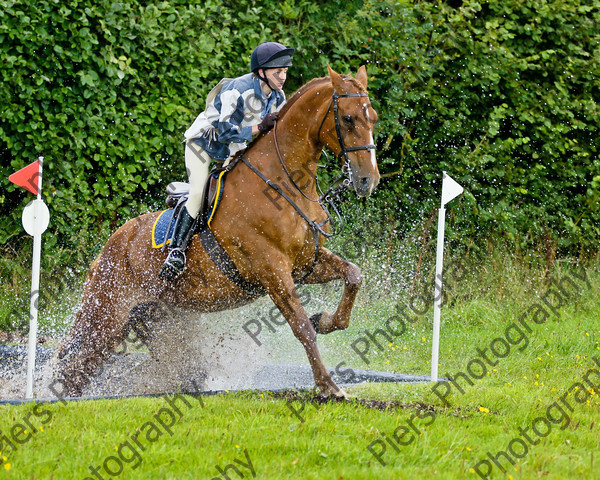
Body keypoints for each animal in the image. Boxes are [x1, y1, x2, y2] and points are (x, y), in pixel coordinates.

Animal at [58, 65, 382, 400]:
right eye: (348, 119)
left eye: (373, 118)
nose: (368, 180)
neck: (285, 184)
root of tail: (107, 249)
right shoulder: (272, 270)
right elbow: (302, 326)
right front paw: (329, 386)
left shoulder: (305, 262)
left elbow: (353, 275)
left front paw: (327, 320)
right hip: (108, 315)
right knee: (75, 365)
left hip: (155, 318)